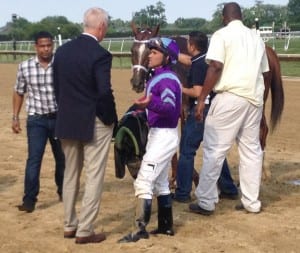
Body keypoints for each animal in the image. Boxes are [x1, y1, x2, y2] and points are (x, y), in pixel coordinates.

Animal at [129, 22, 284, 185]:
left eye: (149, 51)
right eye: (132, 50)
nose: (136, 82)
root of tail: (267, 50)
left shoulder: (186, 111)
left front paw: (189, 178)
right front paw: (173, 178)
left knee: (261, 130)